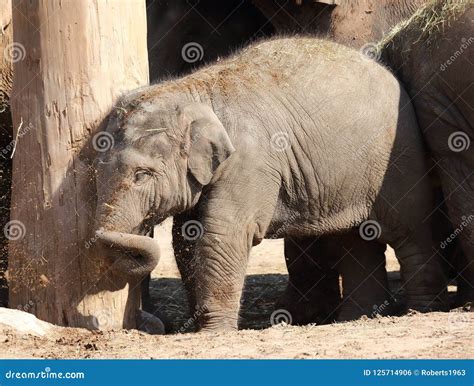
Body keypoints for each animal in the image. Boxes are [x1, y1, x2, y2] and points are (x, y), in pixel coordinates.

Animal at [95, 37, 448, 332]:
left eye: (142, 174)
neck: (194, 88)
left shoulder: (249, 162)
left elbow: (224, 233)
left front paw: (214, 333)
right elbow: (186, 238)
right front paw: (197, 326)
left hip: (400, 158)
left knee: (409, 232)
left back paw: (420, 310)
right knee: (356, 239)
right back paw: (357, 317)